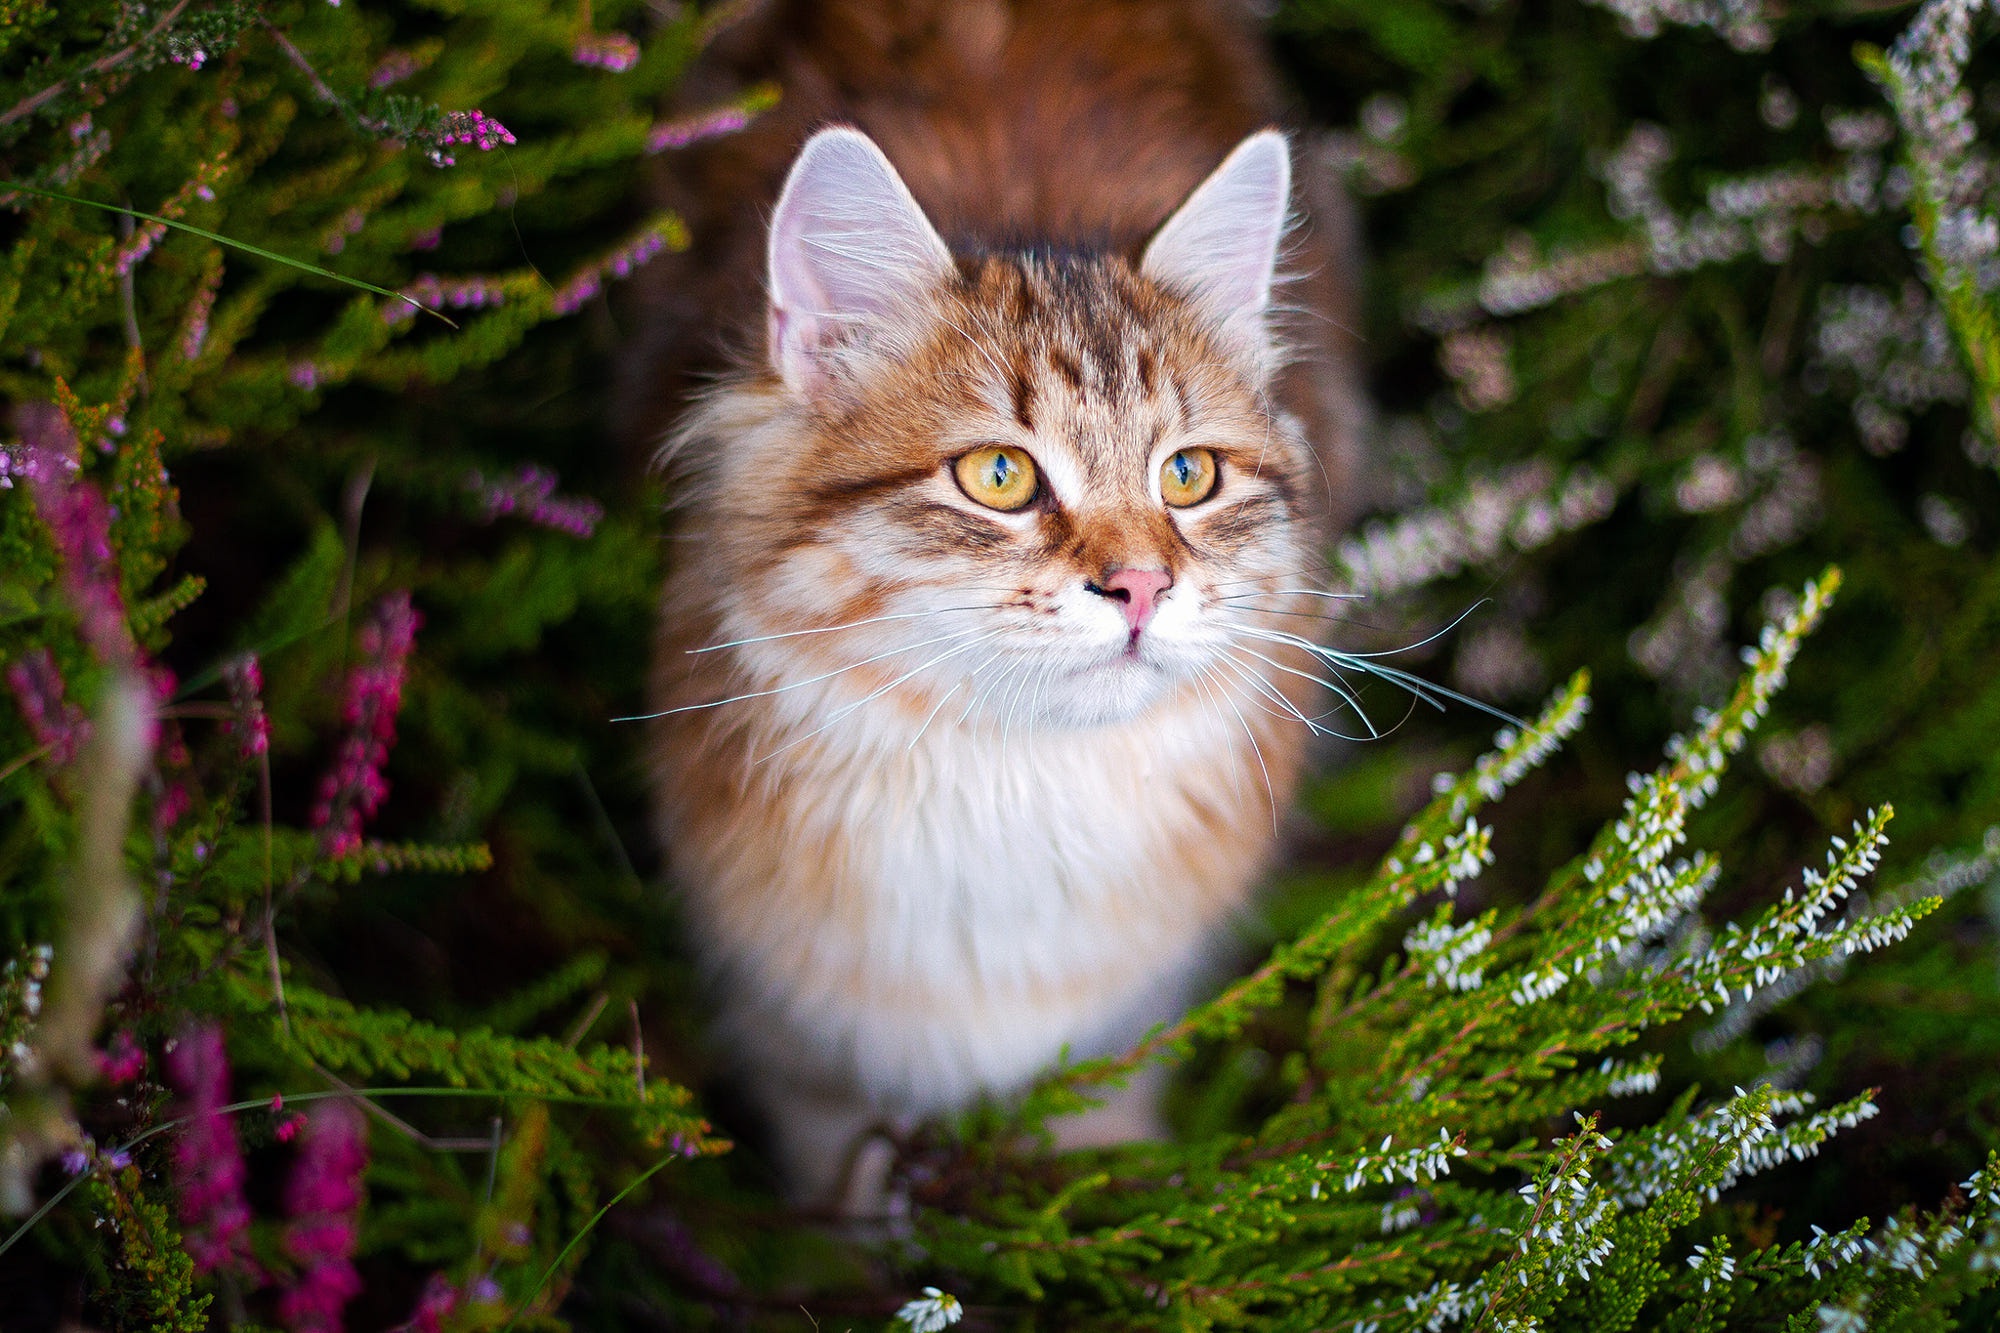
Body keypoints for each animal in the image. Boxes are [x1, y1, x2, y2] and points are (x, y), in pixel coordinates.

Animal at [632, 0, 1368, 1200]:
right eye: (999, 476)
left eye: (1188, 475)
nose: (1142, 585)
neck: (1015, 789)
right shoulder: (807, 1051)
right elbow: (845, 1175)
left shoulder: (1121, 1026)